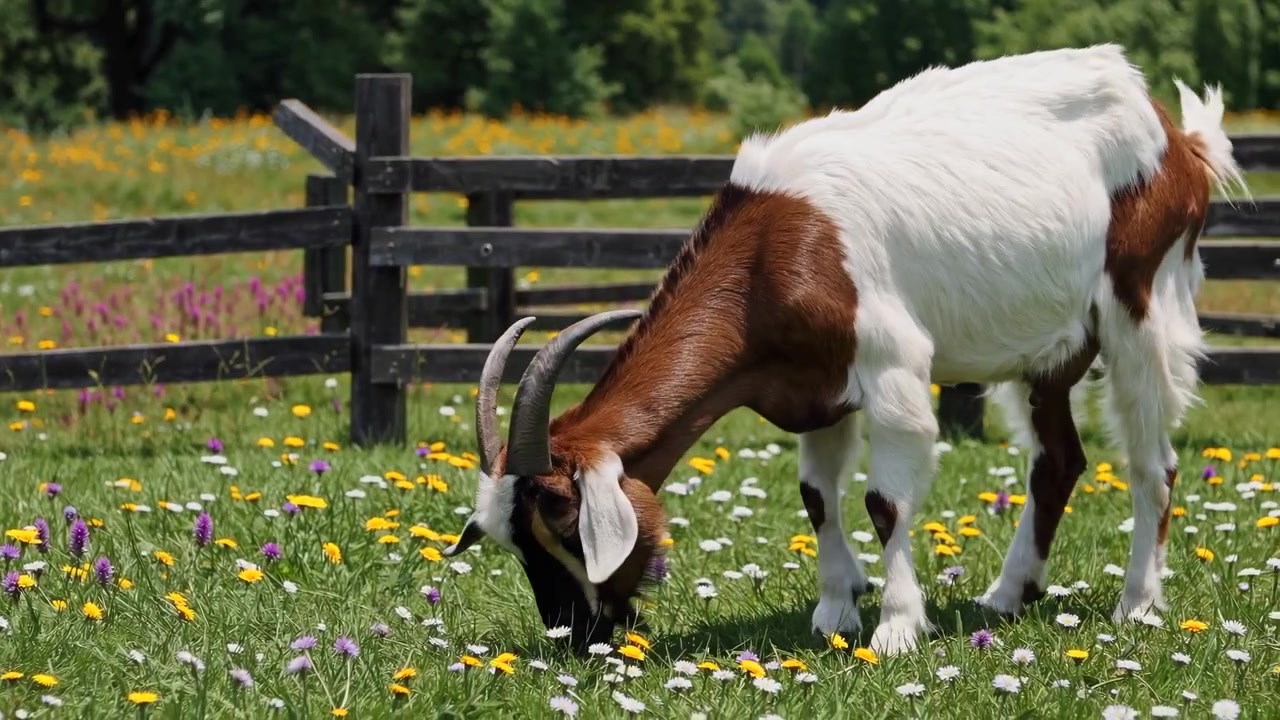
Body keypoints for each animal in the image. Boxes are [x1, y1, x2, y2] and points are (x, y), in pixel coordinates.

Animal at [443, 44, 1250, 656]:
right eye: (510, 541)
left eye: (561, 522)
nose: (574, 635)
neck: (774, 248)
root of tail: (1178, 139)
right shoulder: (814, 388)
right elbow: (816, 496)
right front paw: (835, 609)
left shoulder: (891, 371)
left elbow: (883, 501)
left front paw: (896, 627)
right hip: (1048, 350)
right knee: (1059, 459)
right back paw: (1005, 595)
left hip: (1140, 304)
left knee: (1153, 462)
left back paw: (1137, 604)